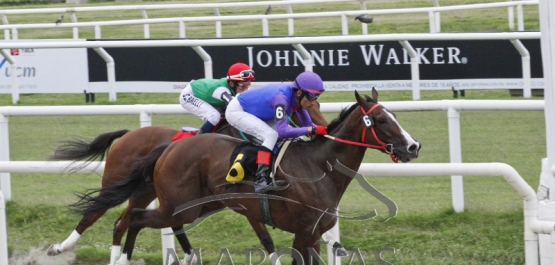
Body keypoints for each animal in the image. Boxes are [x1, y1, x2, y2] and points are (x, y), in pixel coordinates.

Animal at [46, 104, 334, 262]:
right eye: (307, 104)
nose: (322, 126)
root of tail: (129, 133)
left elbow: (267, 239)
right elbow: (266, 238)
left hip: (145, 191)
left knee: (122, 222)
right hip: (119, 182)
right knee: (95, 213)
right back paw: (60, 247)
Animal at [107, 89, 422, 262]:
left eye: (395, 115)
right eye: (380, 120)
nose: (413, 146)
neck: (318, 166)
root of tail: (169, 147)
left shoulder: (312, 234)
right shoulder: (305, 231)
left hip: (199, 205)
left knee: (136, 218)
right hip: (179, 206)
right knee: (134, 218)